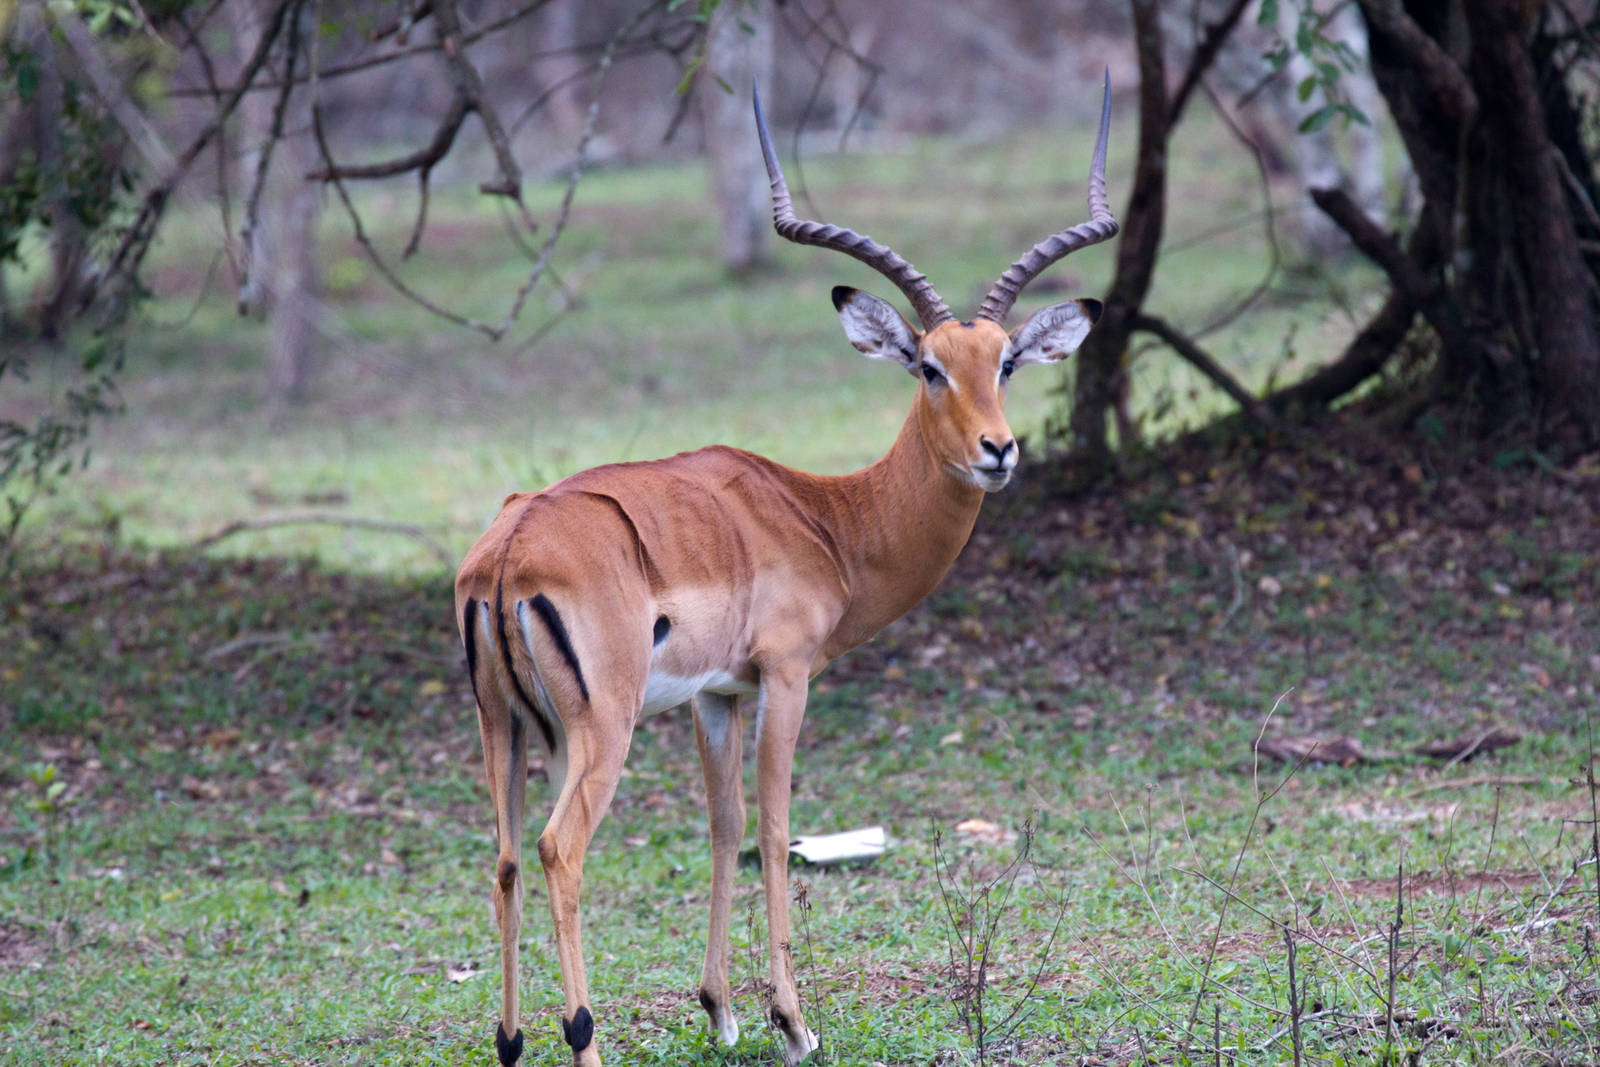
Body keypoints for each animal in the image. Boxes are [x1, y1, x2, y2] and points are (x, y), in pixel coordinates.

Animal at [454, 76, 1118, 1066]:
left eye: (1004, 361)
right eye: (928, 366)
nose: (998, 451)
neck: (826, 518)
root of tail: (508, 548)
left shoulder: (715, 693)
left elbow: (723, 826)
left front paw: (720, 1007)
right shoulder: (788, 675)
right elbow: (772, 827)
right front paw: (793, 1019)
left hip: (505, 728)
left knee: (502, 855)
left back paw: (510, 1038)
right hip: (599, 729)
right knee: (557, 847)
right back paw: (581, 1034)